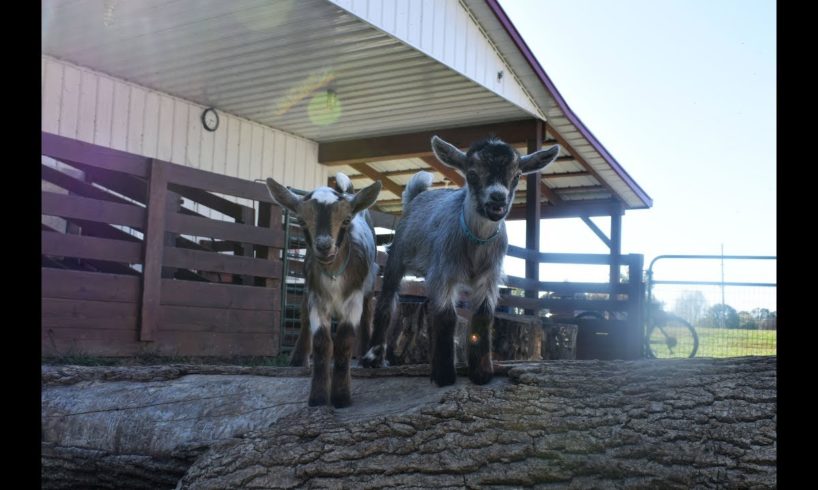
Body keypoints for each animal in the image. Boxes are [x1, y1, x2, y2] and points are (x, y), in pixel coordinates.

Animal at [268, 172, 382, 406]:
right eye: (301, 220)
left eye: (347, 220)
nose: (323, 246)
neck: (333, 273)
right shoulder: (317, 297)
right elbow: (322, 343)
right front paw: (319, 397)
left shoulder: (353, 299)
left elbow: (344, 341)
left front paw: (341, 397)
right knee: (303, 320)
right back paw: (297, 359)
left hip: (369, 284)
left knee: (368, 314)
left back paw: (366, 356)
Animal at [360, 135, 556, 386]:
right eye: (472, 174)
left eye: (516, 176)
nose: (498, 198)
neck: (475, 244)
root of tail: (417, 196)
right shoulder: (444, 272)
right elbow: (446, 317)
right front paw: (444, 375)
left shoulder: (489, 276)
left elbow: (483, 315)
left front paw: (481, 373)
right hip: (397, 256)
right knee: (386, 300)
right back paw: (373, 357)